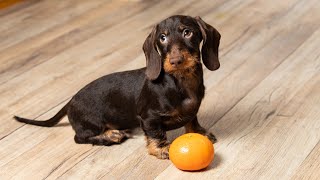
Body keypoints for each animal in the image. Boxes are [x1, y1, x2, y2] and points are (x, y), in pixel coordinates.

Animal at [14, 15, 220, 159]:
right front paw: (162, 149)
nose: (176, 61)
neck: (181, 82)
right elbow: (156, 134)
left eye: (187, 32)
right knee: (79, 137)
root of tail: (71, 100)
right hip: (92, 124)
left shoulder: (192, 110)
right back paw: (110, 136)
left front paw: (200, 133)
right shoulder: (149, 118)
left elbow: (192, 120)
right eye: (162, 38)